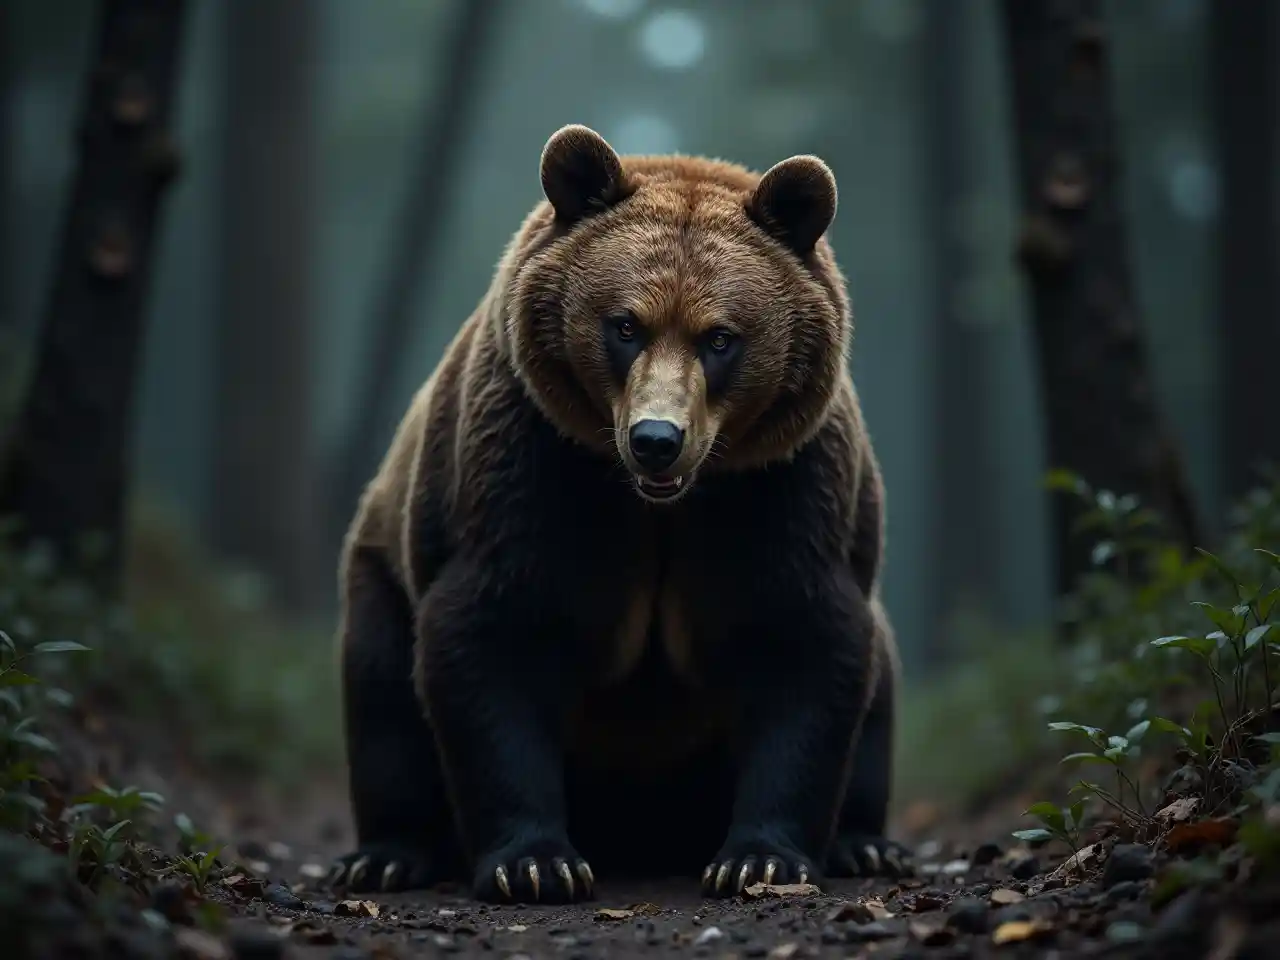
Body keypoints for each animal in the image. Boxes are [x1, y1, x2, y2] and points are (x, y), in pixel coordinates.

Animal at [327, 123, 911, 904]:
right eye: (625, 325)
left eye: (720, 337)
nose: (656, 439)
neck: (662, 506)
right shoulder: (536, 465)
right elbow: (495, 633)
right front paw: (536, 863)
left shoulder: (780, 486)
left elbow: (802, 640)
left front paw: (759, 859)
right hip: (382, 561)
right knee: (383, 692)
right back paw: (388, 855)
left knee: (880, 696)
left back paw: (867, 844)